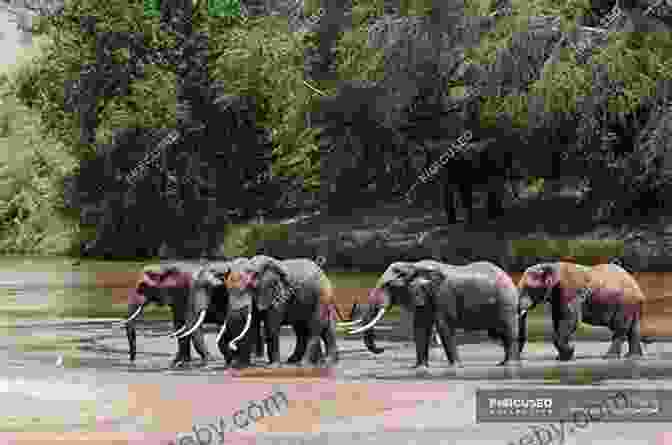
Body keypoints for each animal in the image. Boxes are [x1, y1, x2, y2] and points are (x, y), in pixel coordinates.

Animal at [344, 260, 524, 368]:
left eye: (388, 285)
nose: (381, 349)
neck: (413, 266)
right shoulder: (422, 296)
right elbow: (420, 328)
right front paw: (419, 368)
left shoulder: (442, 295)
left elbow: (444, 327)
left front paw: (455, 367)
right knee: (499, 333)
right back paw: (503, 363)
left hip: (506, 302)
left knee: (508, 331)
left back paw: (510, 365)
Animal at [516, 260, 652, 360]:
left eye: (529, 288)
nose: (520, 357)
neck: (551, 266)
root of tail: (638, 288)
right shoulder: (557, 297)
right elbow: (558, 319)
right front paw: (563, 357)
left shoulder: (571, 291)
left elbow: (571, 320)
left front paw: (569, 353)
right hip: (632, 305)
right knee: (633, 330)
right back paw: (633, 357)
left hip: (625, 304)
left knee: (620, 329)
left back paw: (609, 357)